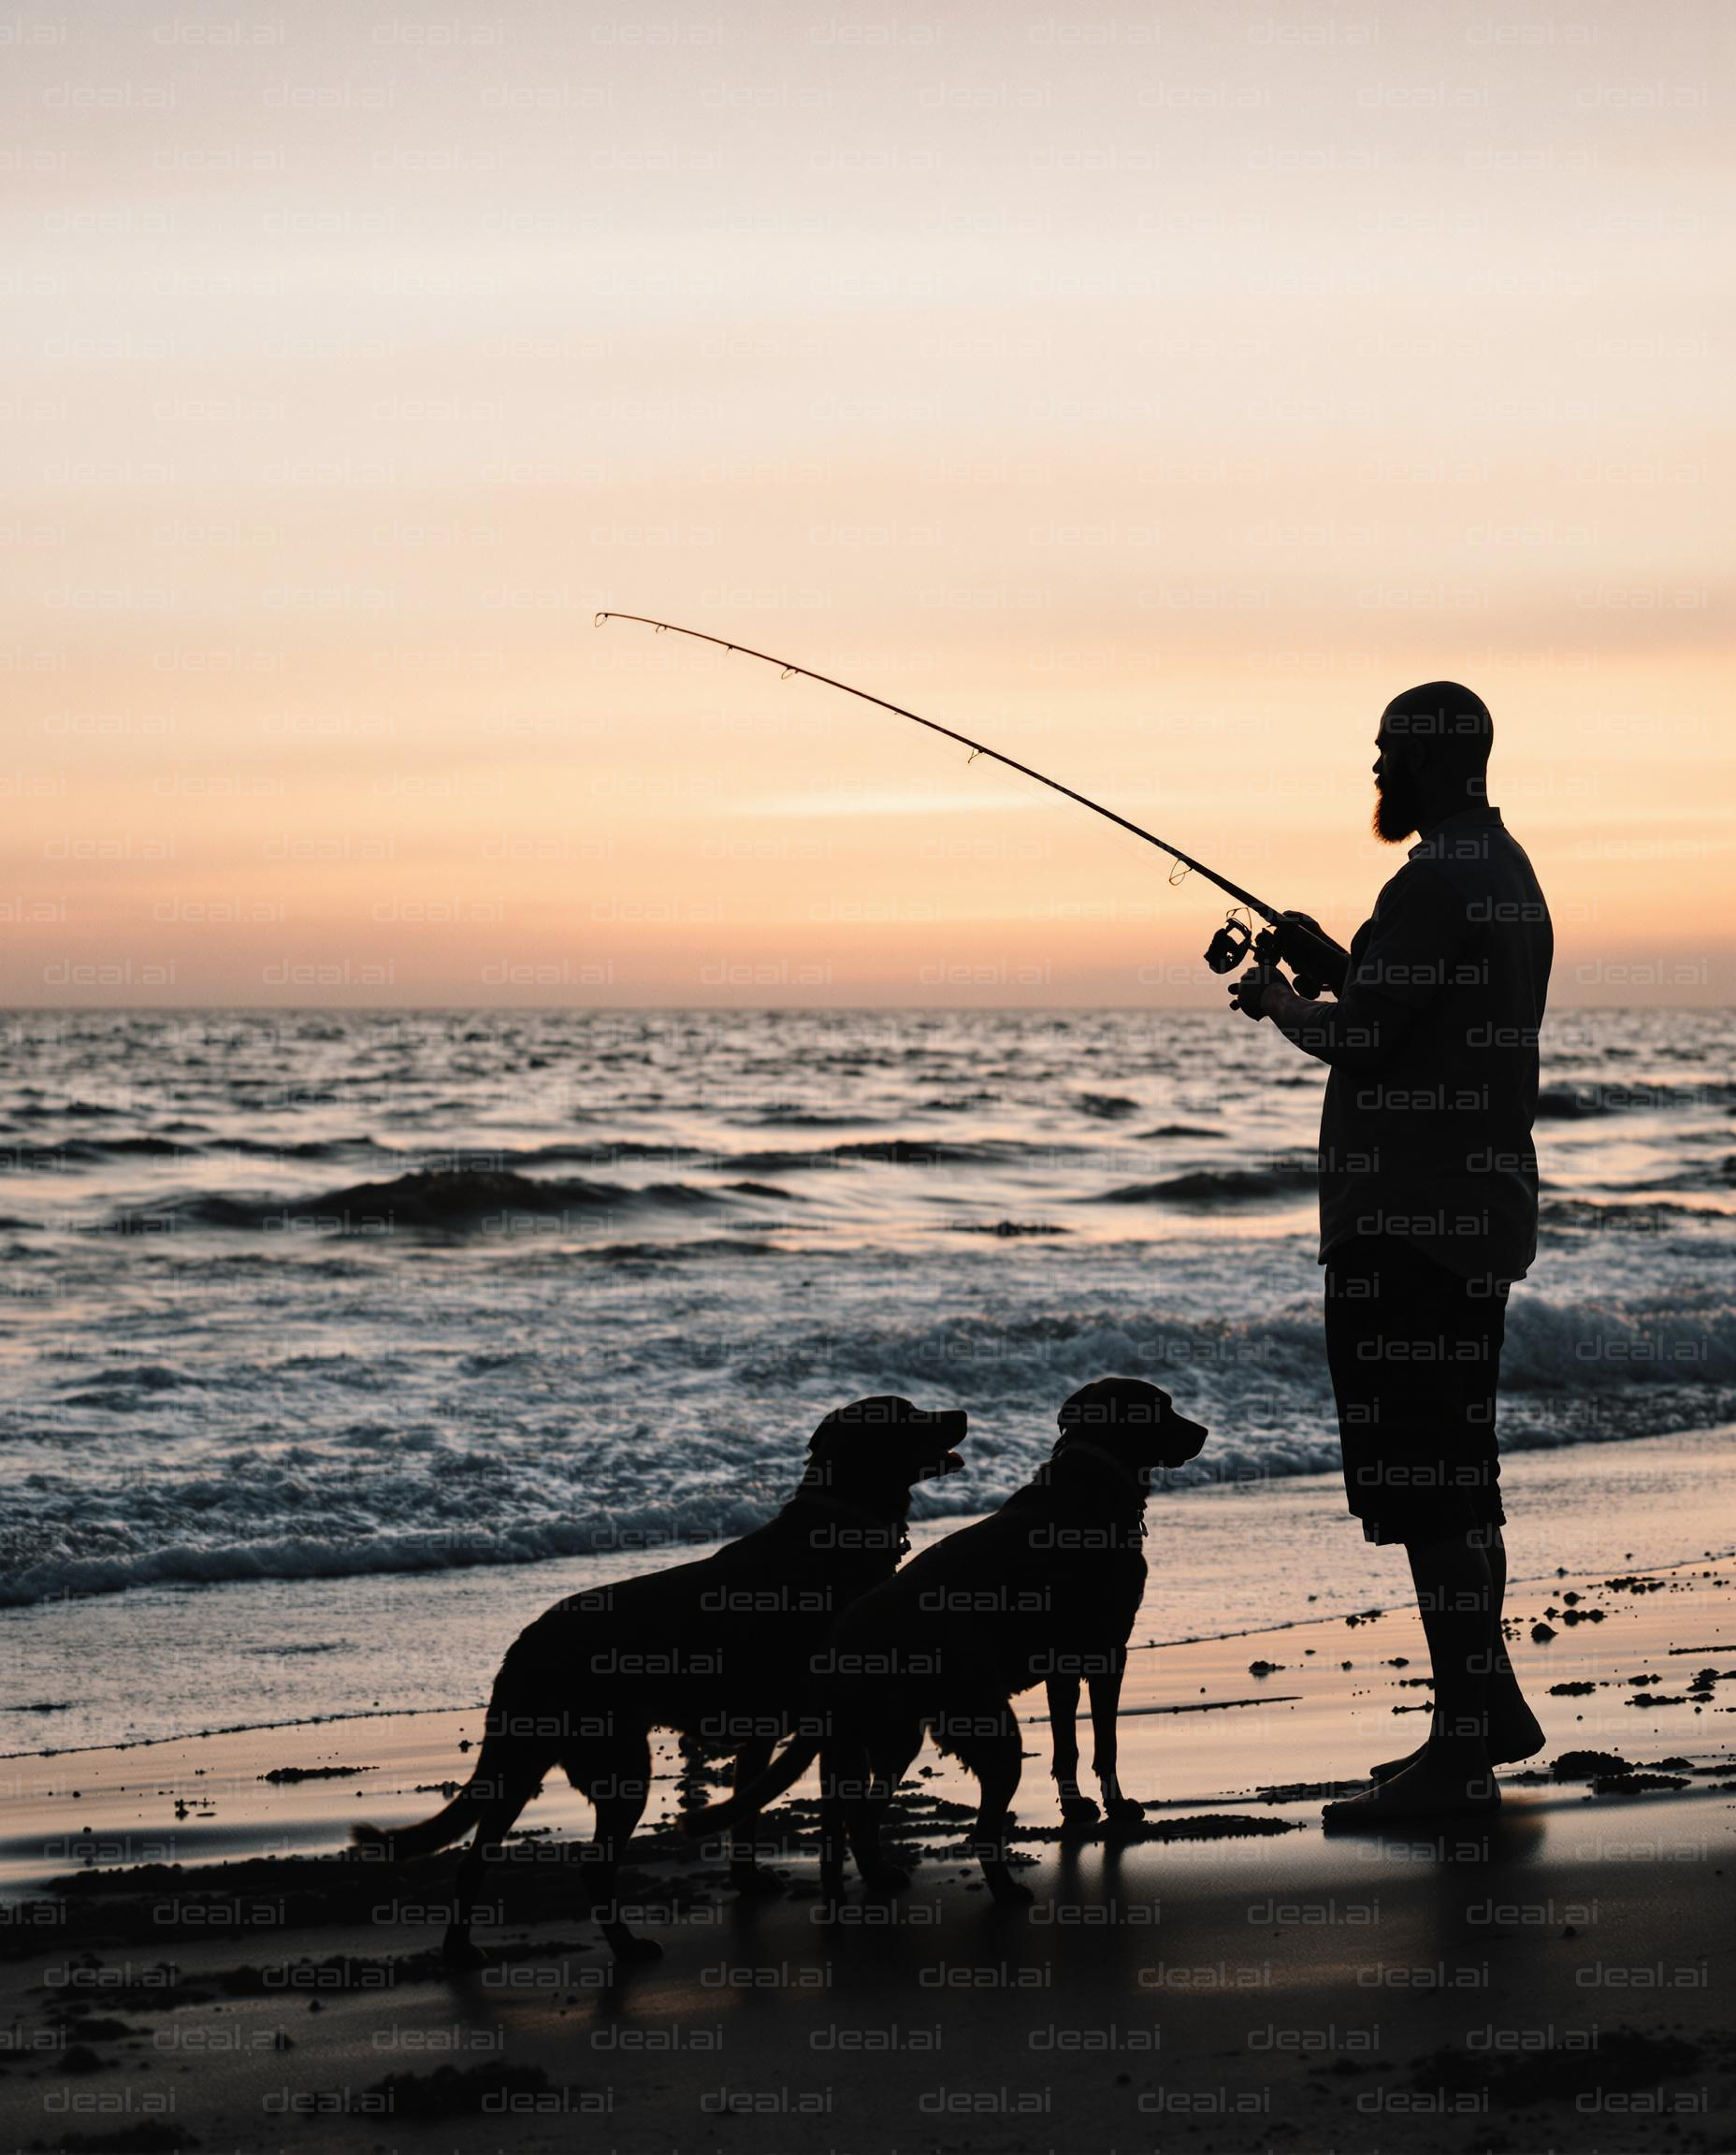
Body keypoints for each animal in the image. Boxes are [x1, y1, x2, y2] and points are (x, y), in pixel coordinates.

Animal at [354, 1396, 973, 1974]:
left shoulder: (767, 1732)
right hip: (618, 1763)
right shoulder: (840, 1724)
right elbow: (858, 1816)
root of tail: (523, 1646)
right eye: (907, 1415)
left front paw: (750, 1879)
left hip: (522, 1760)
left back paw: (460, 1949)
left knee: (475, 1857)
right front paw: (876, 1874)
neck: (842, 1523)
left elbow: (749, 1813)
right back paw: (626, 1948)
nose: (962, 1413)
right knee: (593, 1867)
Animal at [693, 1379, 1206, 1904]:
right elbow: (1106, 1742)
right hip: (980, 1728)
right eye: (1162, 1408)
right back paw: (1003, 1892)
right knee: (967, 1827)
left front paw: (1075, 1805)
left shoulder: (1062, 1663)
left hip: (880, 1737)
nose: (1204, 1432)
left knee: (848, 1820)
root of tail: (840, 1648)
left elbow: (1067, 1744)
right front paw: (1116, 1805)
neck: (1091, 1480)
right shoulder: (1109, 1649)